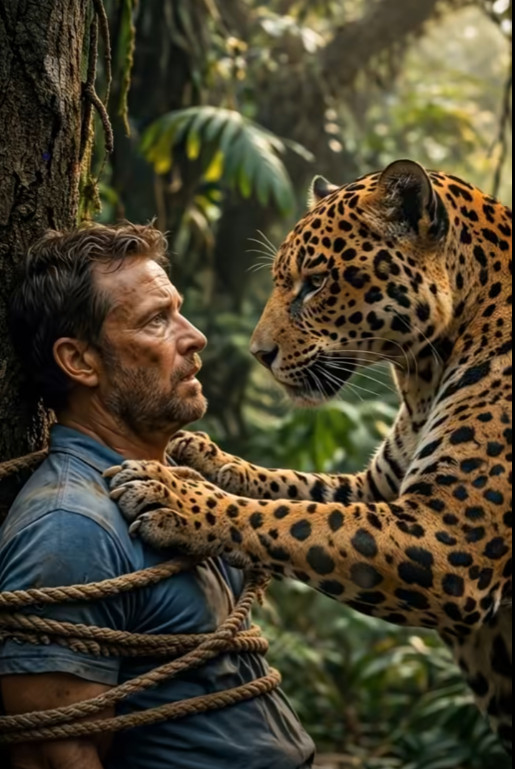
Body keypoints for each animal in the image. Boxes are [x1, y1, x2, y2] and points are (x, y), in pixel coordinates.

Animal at [108, 160, 513, 753]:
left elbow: (292, 519)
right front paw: (200, 452)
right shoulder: (376, 488)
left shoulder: (452, 537)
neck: (422, 375)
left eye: (316, 283)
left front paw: (173, 497)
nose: (259, 354)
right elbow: (293, 491)